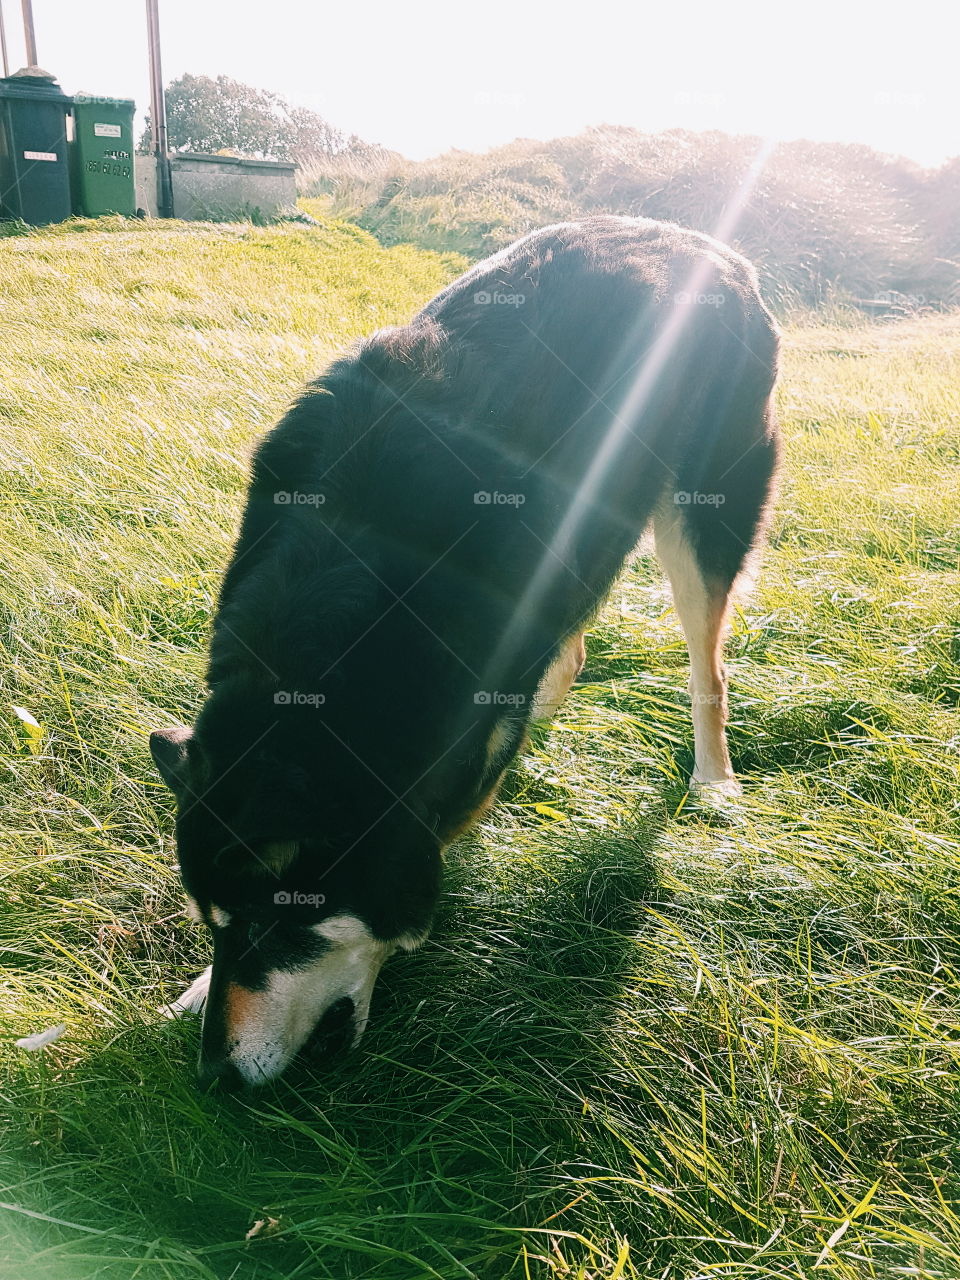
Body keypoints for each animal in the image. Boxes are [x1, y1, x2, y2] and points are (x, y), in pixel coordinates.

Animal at [150, 215, 783, 1085]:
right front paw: (191, 991)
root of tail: (711, 245)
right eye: (214, 925)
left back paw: (714, 780)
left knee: (707, 666)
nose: (211, 1079)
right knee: (571, 654)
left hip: (703, 515)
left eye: (272, 929)